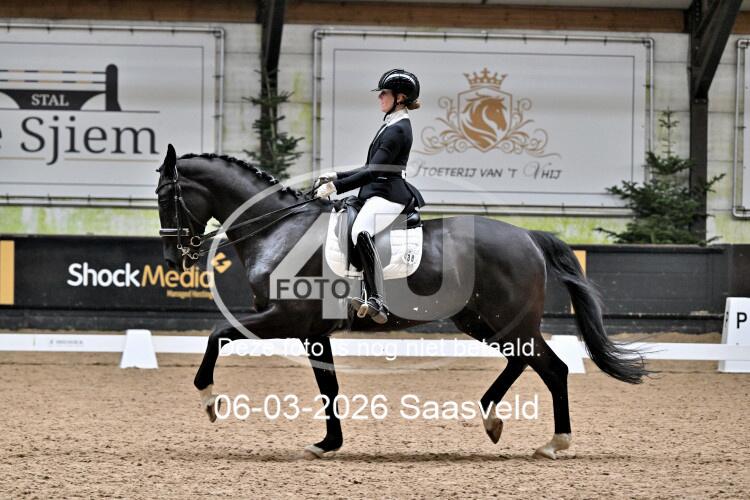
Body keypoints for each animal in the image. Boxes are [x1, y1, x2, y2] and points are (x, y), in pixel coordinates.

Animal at [155, 144, 647, 460]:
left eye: (167, 197)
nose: (173, 258)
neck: (279, 228)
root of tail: (527, 235)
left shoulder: (283, 317)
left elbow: (218, 334)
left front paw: (209, 399)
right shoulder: (311, 331)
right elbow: (328, 387)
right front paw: (328, 444)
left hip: (510, 320)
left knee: (551, 367)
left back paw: (552, 443)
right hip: (483, 322)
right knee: (524, 362)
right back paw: (493, 420)